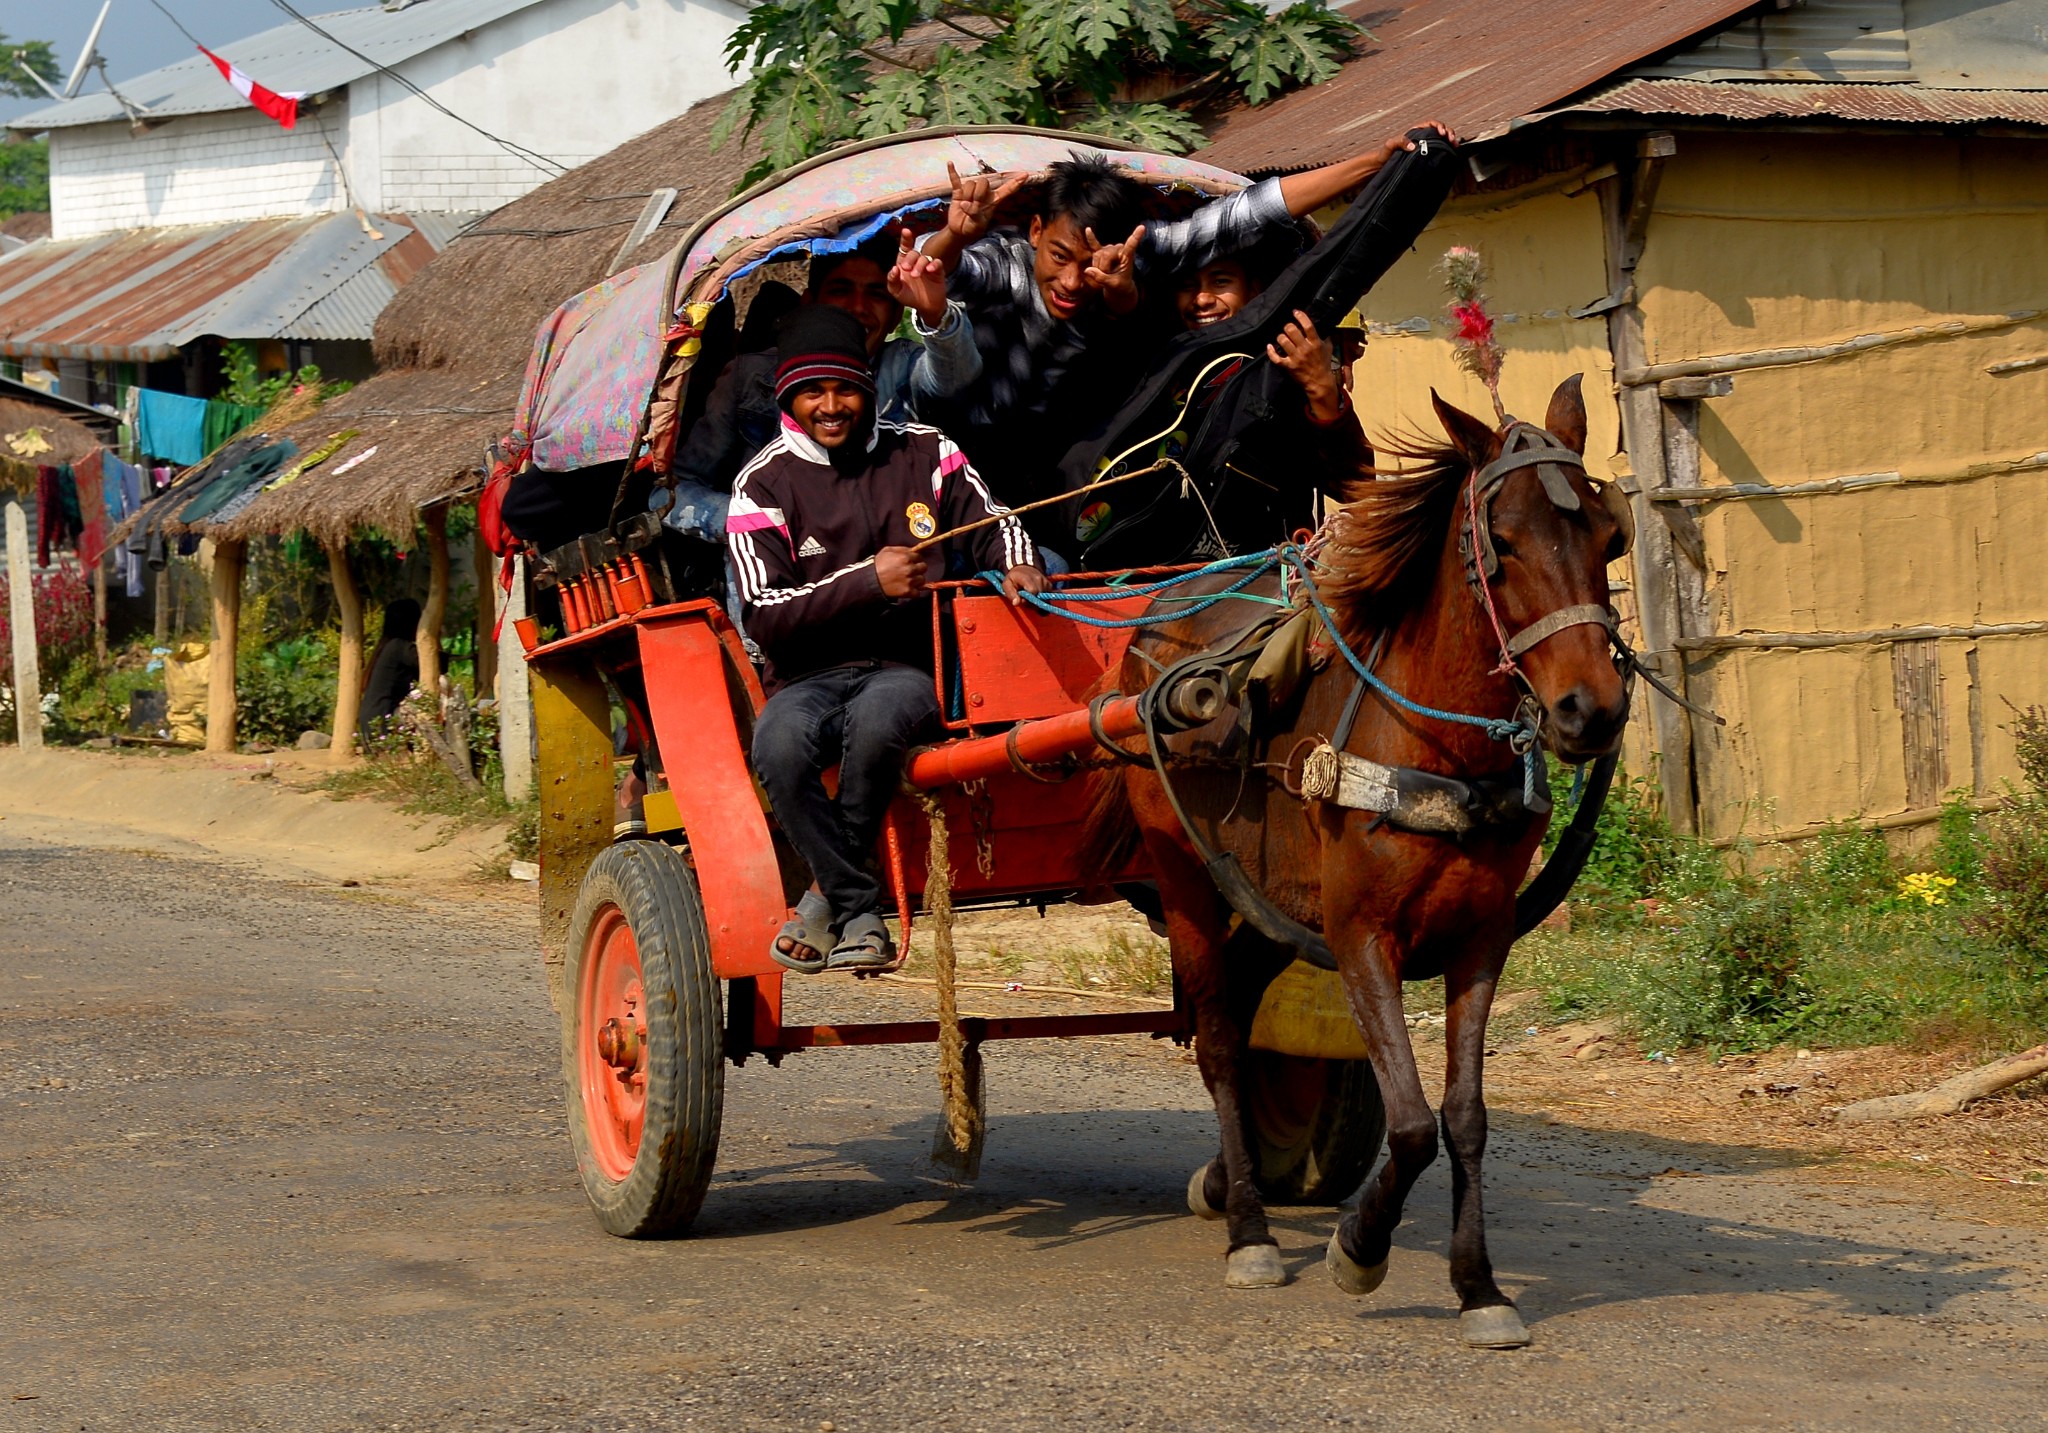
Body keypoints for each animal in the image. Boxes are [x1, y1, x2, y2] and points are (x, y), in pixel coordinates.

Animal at [1089, 372, 1630, 1342]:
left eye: (1611, 535)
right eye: (1500, 542)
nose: (1591, 710)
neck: (1440, 747)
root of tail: (1155, 621)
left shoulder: (1481, 936)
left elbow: (1465, 1114)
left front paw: (1479, 1285)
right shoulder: (1361, 934)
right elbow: (1411, 1123)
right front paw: (1359, 1247)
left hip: (1271, 899)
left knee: (1241, 1004)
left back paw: (1229, 1178)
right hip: (1187, 871)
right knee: (1219, 1037)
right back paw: (1250, 1231)